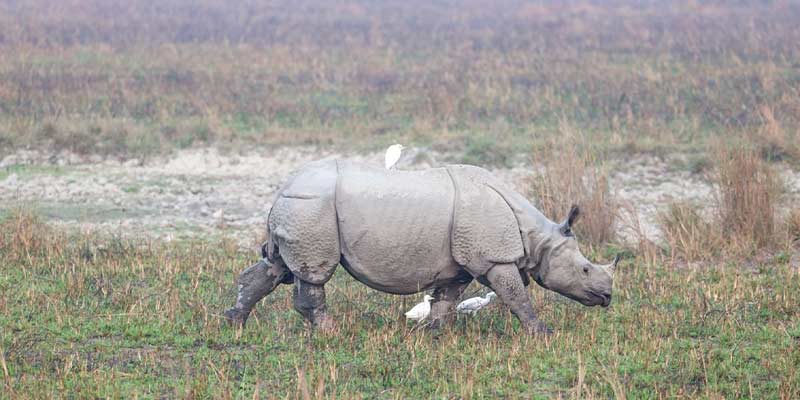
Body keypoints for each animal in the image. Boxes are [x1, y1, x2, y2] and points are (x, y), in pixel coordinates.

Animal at [224, 160, 618, 334]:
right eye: (585, 269)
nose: (607, 297)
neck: (537, 236)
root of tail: (282, 189)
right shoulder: (494, 258)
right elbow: (516, 296)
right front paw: (542, 333)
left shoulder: (459, 262)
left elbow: (446, 299)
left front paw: (435, 334)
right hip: (311, 210)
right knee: (313, 274)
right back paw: (330, 332)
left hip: (299, 210)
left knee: (278, 267)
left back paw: (234, 322)